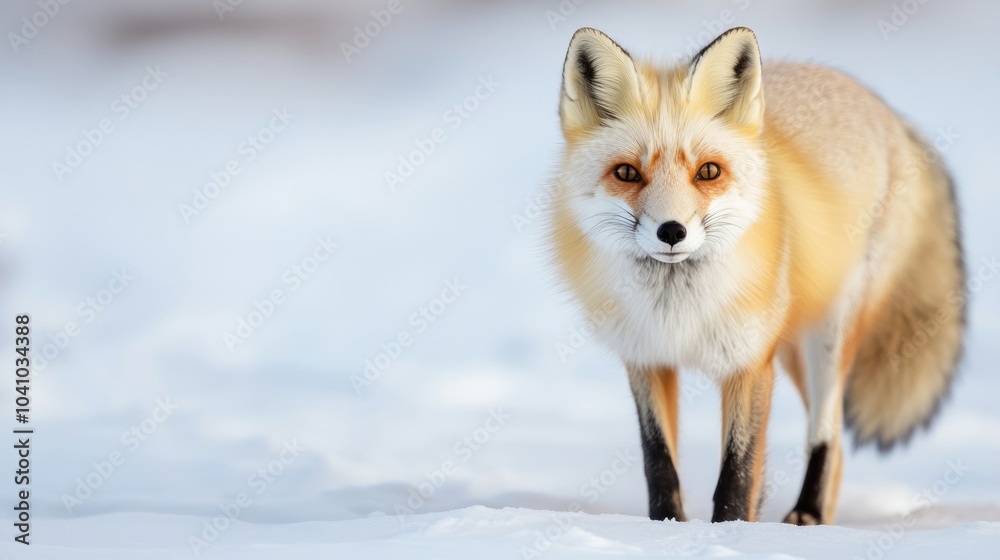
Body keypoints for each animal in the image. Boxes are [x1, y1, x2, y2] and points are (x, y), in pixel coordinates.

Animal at [548, 27, 965, 524]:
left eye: (708, 171)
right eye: (627, 173)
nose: (672, 231)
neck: (678, 311)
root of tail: (885, 110)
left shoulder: (749, 362)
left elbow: (740, 468)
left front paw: (731, 531)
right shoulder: (647, 358)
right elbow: (658, 460)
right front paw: (665, 527)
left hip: (827, 338)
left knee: (827, 432)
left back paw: (807, 513)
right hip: (791, 350)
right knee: (841, 447)